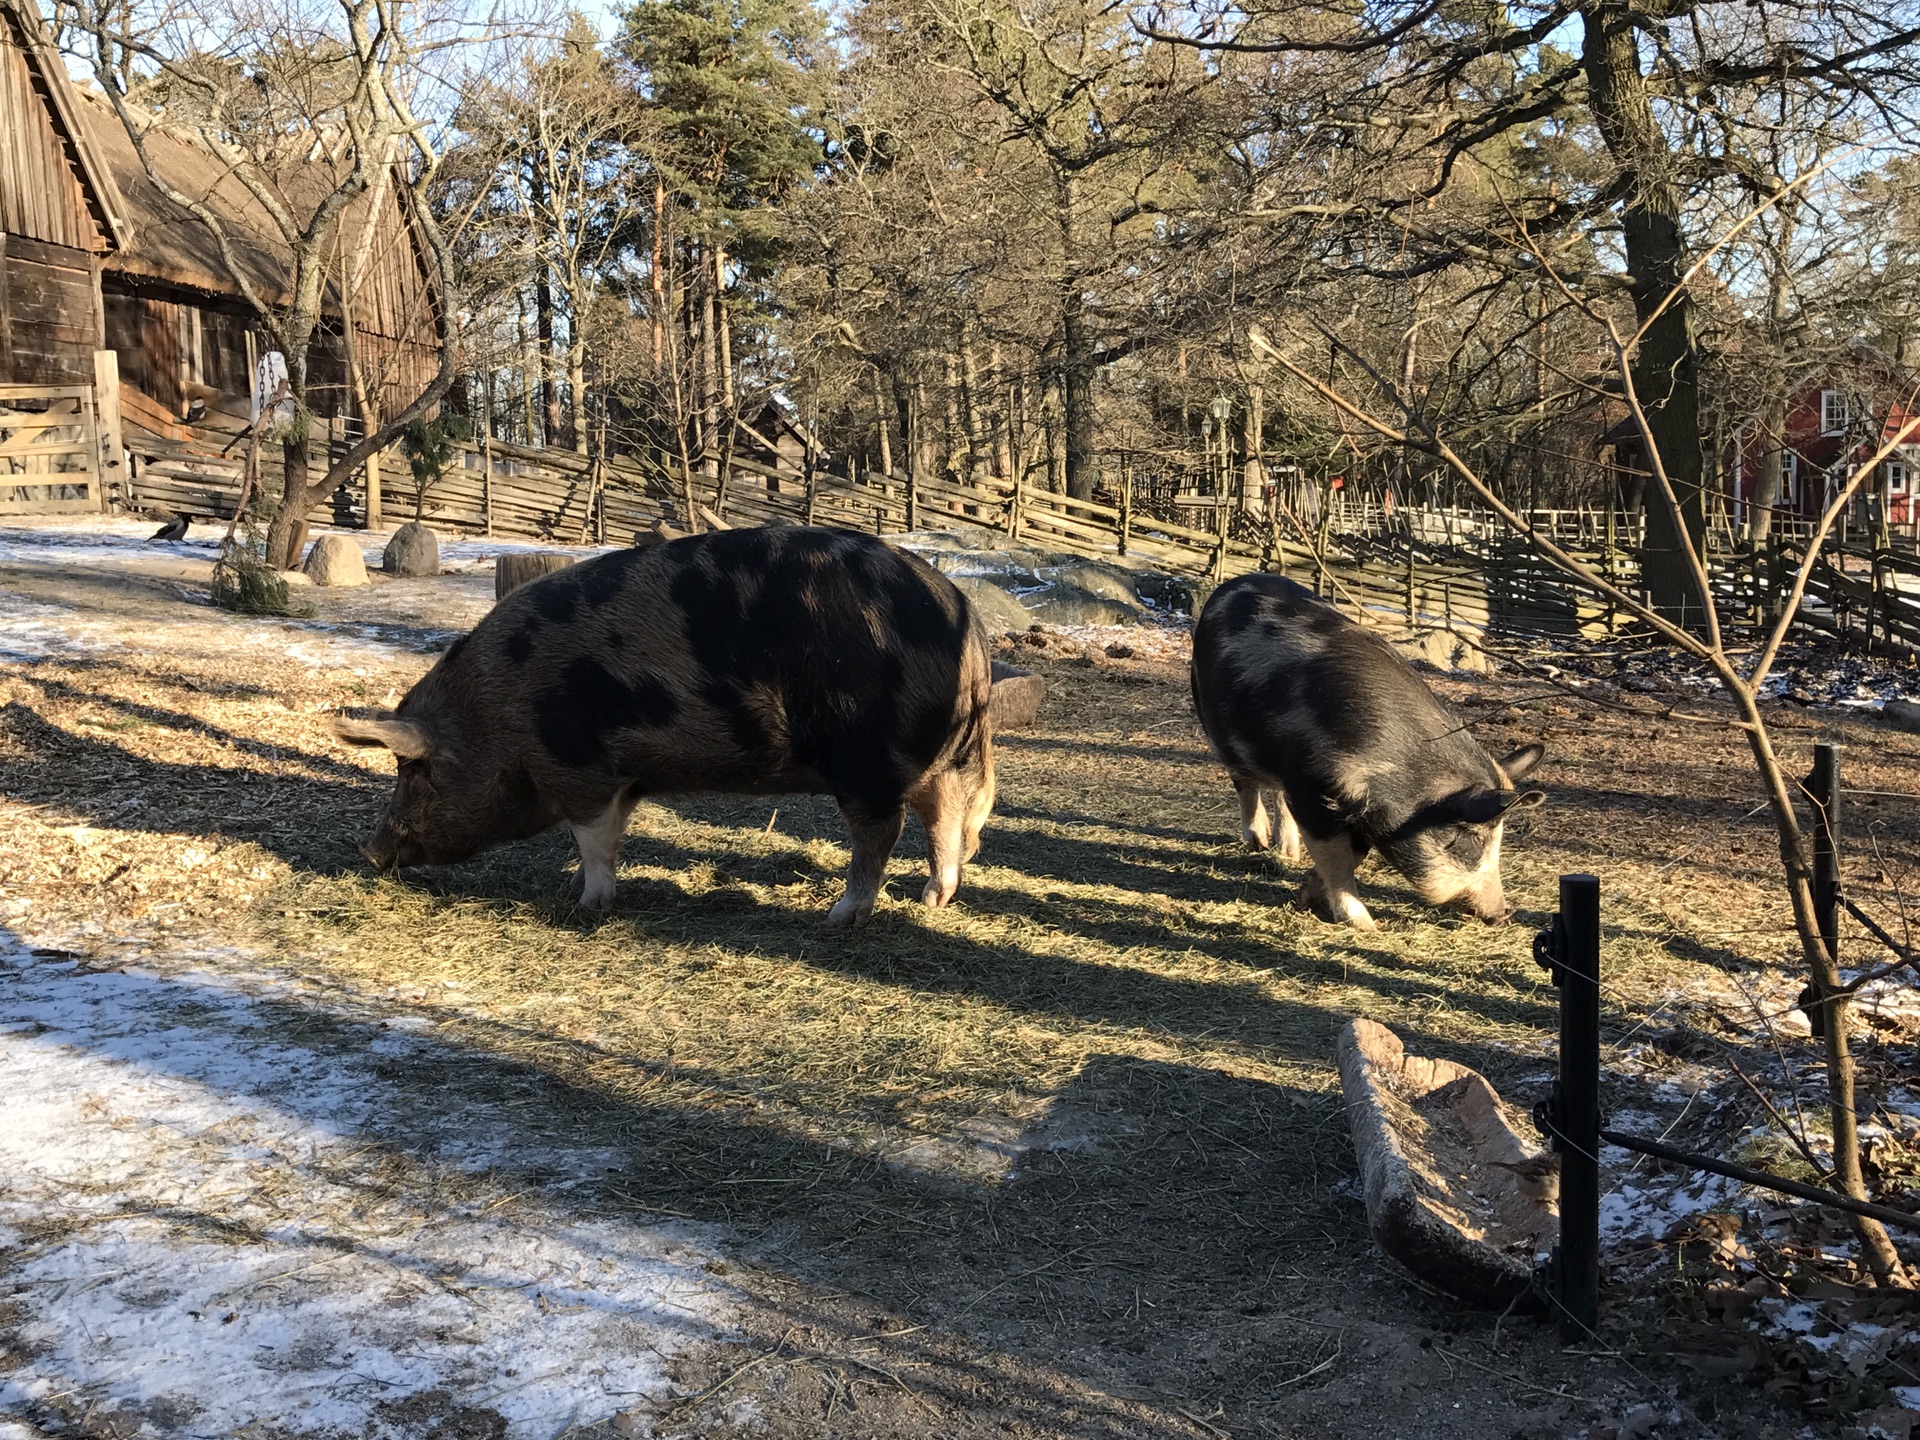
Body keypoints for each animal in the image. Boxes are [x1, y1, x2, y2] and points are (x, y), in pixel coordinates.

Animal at [332, 526, 998, 925]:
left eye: (414, 772)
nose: (366, 851)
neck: (495, 717)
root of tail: (964, 619)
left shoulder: (578, 767)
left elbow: (592, 837)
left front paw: (587, 905)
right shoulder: (625, 775)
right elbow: (611, 834)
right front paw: (582, 891)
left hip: (867, 757)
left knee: (882, 833)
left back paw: (841, 916)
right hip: (937, 756)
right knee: (947, 814)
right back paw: (932, 900)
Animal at [1182, 576, 1543, 936]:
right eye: (1471, 841)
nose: (1504, 913)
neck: (1400, 770)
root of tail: (1233, 583)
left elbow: (1353, 855)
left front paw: (1307, 893)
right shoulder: (1315, 792)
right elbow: (1337, 859)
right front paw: (1367, 927)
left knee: (1277, 792)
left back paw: (1289, 852)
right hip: (1215, 722)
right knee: (1245, 782)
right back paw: (1257, 842)